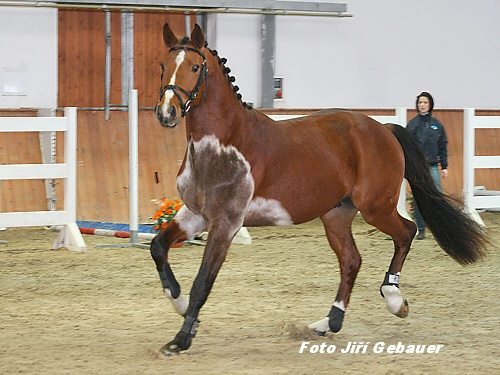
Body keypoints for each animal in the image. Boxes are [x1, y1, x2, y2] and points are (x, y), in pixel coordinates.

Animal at [151, 22, 488, 356]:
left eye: (195, 67)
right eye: (163, 65)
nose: (166, 113)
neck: (224, 144)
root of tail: (384, 129)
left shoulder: (226, 223)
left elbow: (202, 283)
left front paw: (180, 339)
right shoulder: (196, 214)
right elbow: (158, 247)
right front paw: (181, 305)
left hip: (375, 208)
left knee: (406, 232)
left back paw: (394, 299)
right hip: (336, 216)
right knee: (352, 261)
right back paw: (329, 322)